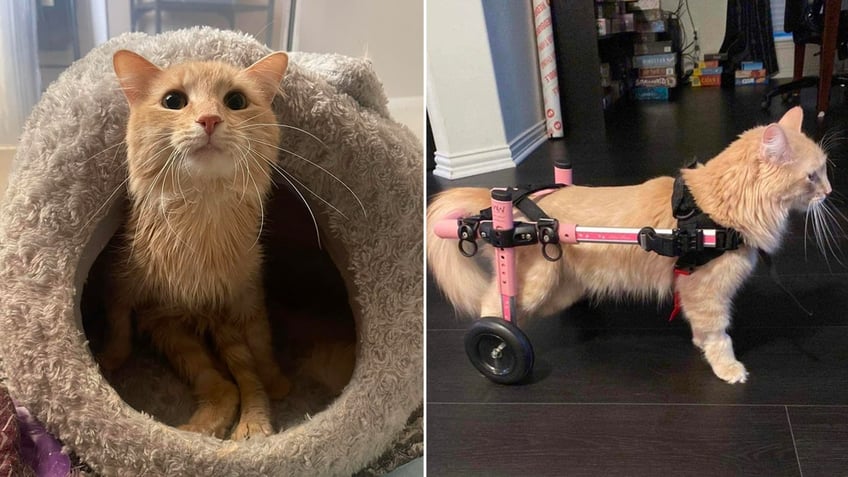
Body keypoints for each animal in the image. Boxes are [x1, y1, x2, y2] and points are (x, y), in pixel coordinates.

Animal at [97, 49, 292, 438]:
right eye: (174, 101)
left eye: (236, 101)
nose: (210, 119)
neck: (203, 212)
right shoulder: (121, 282)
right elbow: (119, 326)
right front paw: (109, 360)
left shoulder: (248, 295)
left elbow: (261, 345)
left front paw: (276, 381)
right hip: (169, 327)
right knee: (222, 387)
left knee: (232, 385)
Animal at [428, 107, 832, 384]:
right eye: (813, 176)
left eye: (825, 171)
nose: (829, 192)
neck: (717, 208)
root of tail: (509, 203)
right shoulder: (707, 290)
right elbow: (719, 333)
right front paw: (728, 367)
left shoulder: (695, 291)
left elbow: (702, 329)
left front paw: (701, 346)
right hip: (532, 283)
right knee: (495, 310)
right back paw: (496, 348)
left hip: (563, 285)